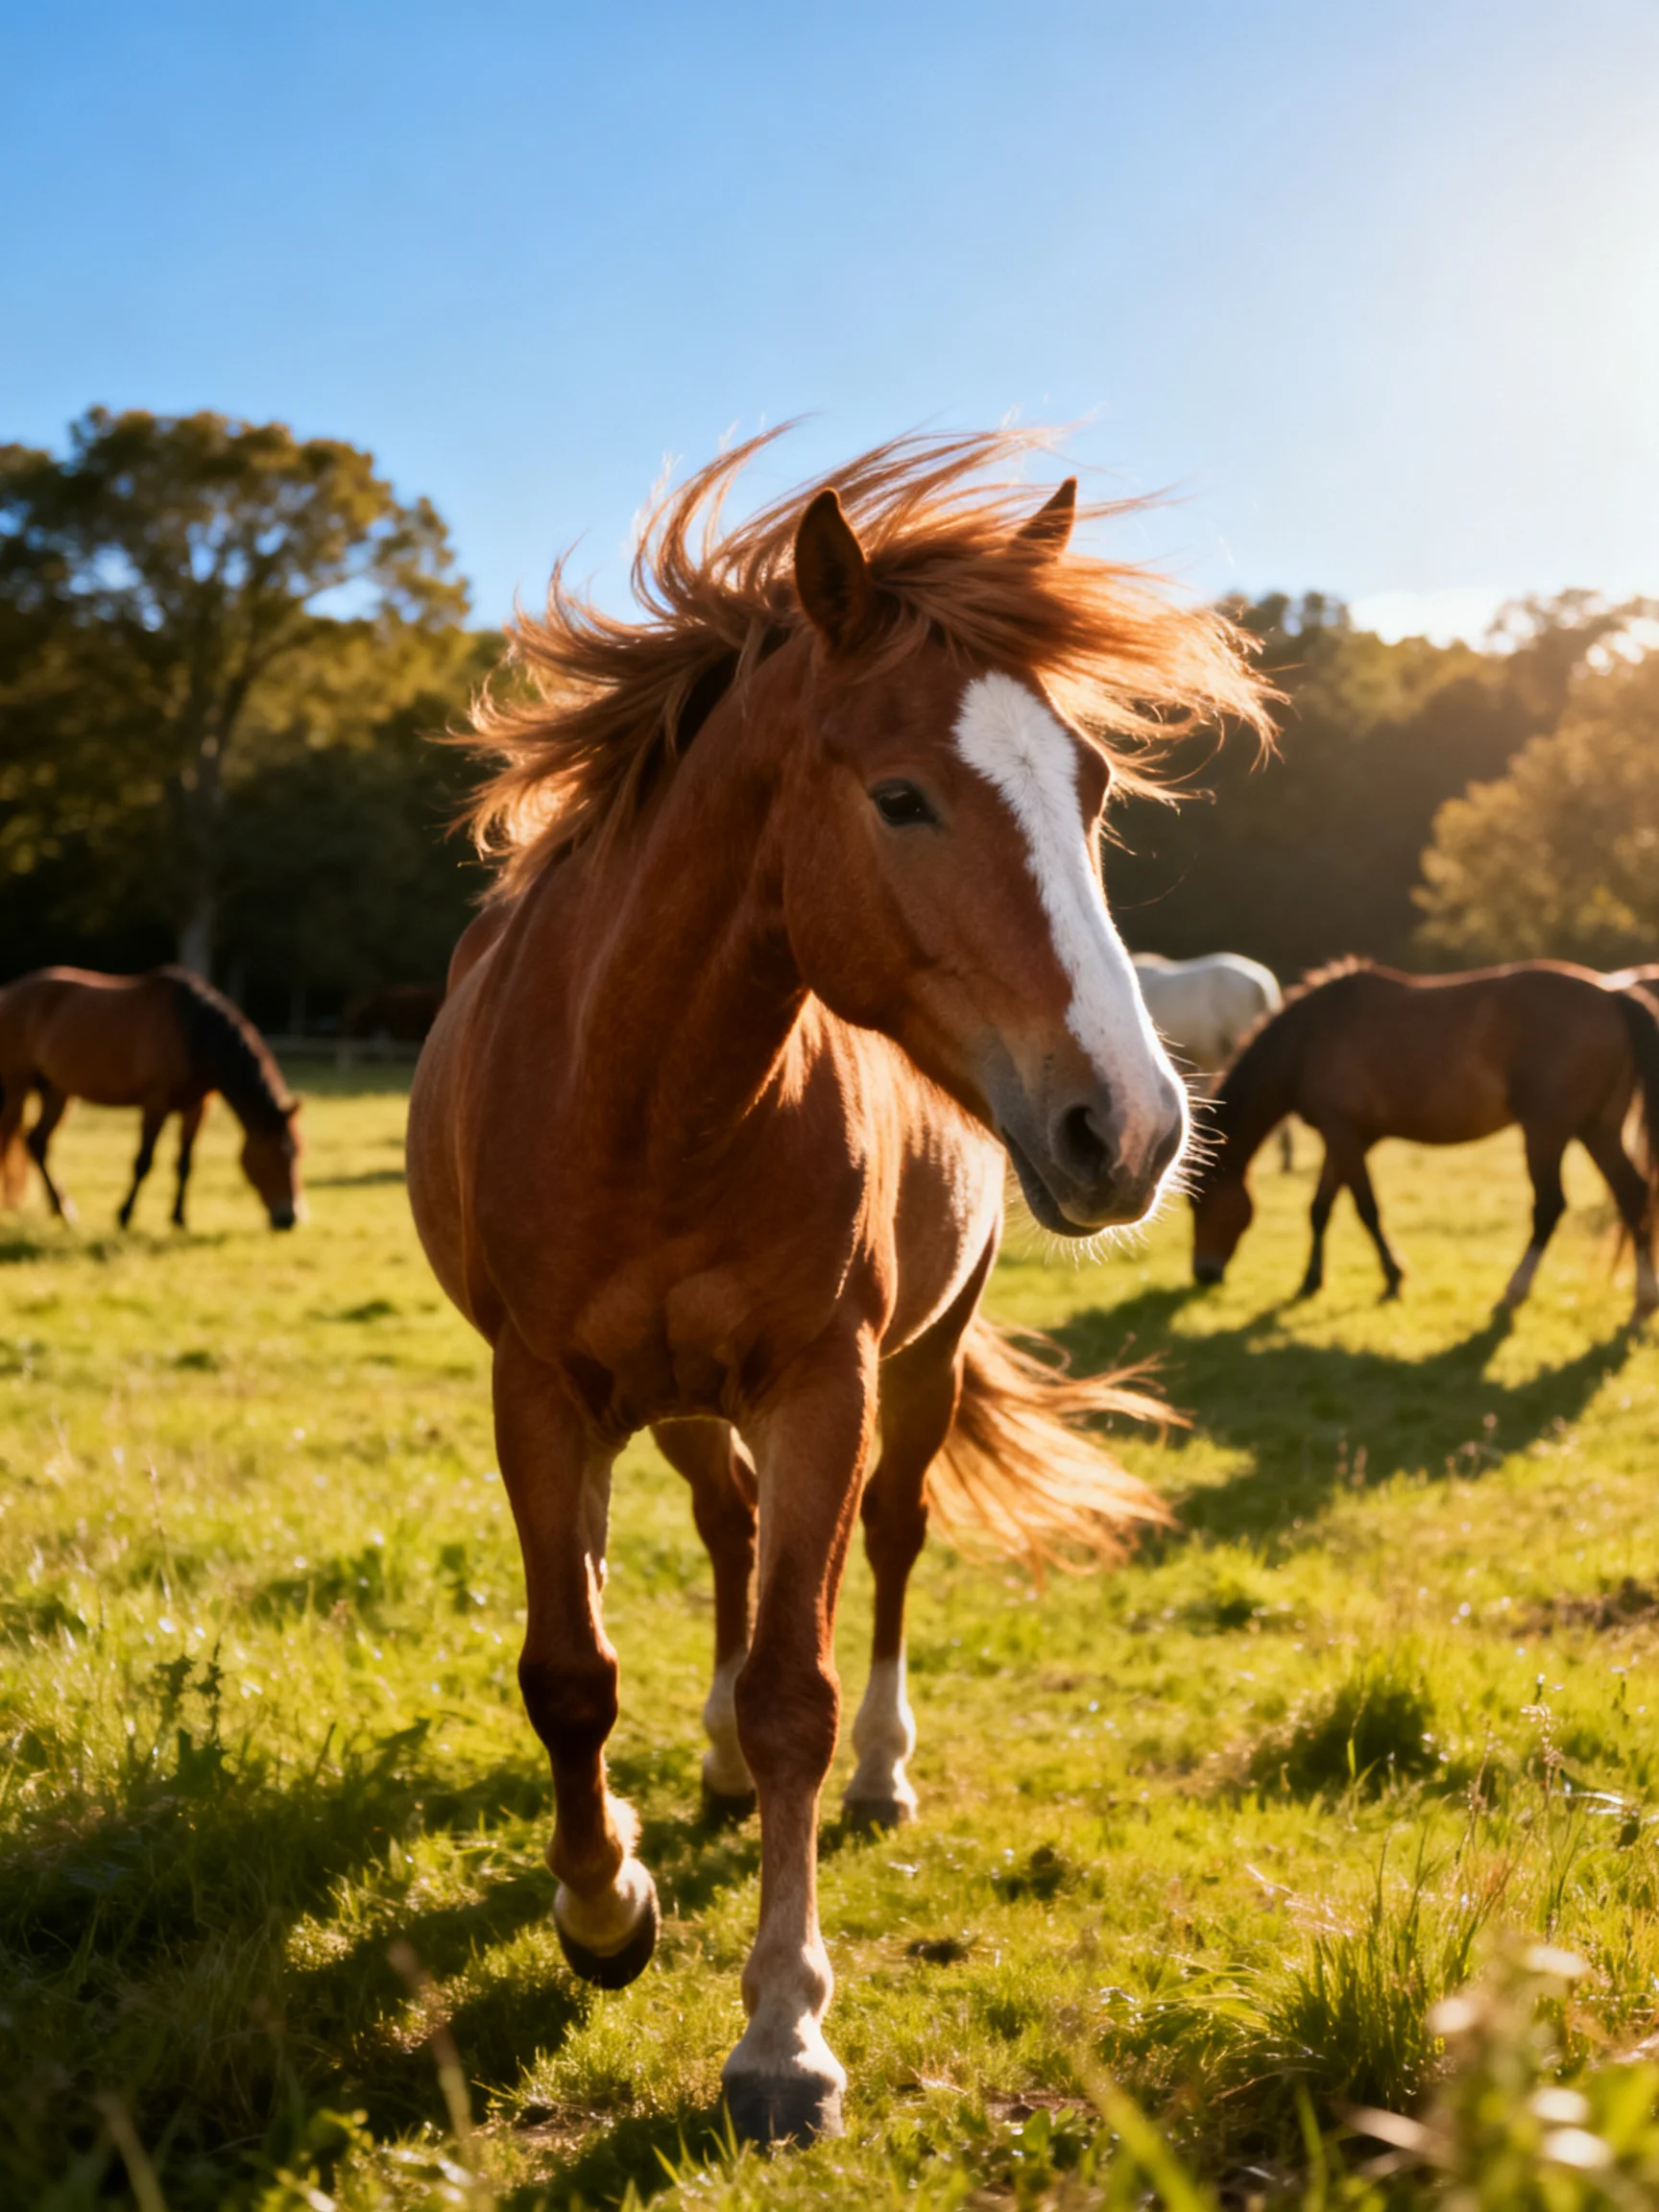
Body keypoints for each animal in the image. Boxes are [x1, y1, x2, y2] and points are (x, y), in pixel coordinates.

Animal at [0, 966, 304, 1230]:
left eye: (298, 1153)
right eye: (276, 1155)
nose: (290, 1218)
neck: (191, 1033)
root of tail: (10, 992)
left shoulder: (197, 1107)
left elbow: (185, 1163)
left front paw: (179, 1218)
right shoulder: (155, 1103)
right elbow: (143, 1162)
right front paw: (124, 1214)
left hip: (57, 1091)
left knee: (37, 1142)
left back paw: (63, 1209)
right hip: (16, 1087)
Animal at [406, 429, 1268, 2144]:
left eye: (1092, 785)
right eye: (901, 796)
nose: (1134, 1127)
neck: (644, 1092)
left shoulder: (827, 1381)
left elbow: (799, 1682)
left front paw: (782, 2034)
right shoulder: (538, 1390)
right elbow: (569, 1670)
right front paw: (602, 1902)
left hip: (915, 1371)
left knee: (886, 1549)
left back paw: (874, 1770)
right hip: (675, 1405)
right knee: (726, 1537)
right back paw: (708, 1765)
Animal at [1189, 959, 1659, 1320]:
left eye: (1201, 1202)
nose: (1203, 1273)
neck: (1310, 1039)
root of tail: (1612, 994)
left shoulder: (1344, 1134)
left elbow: (1366, 1209)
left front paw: (1393, 1278)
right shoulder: (1344, 1138)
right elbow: (1320, 1209)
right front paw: (1310, 1280)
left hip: (1547, 1131)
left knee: (1549, 1206)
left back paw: (1512, 1293)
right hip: (1598, 1129)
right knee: (1632, 1194)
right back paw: (1643, 1299)